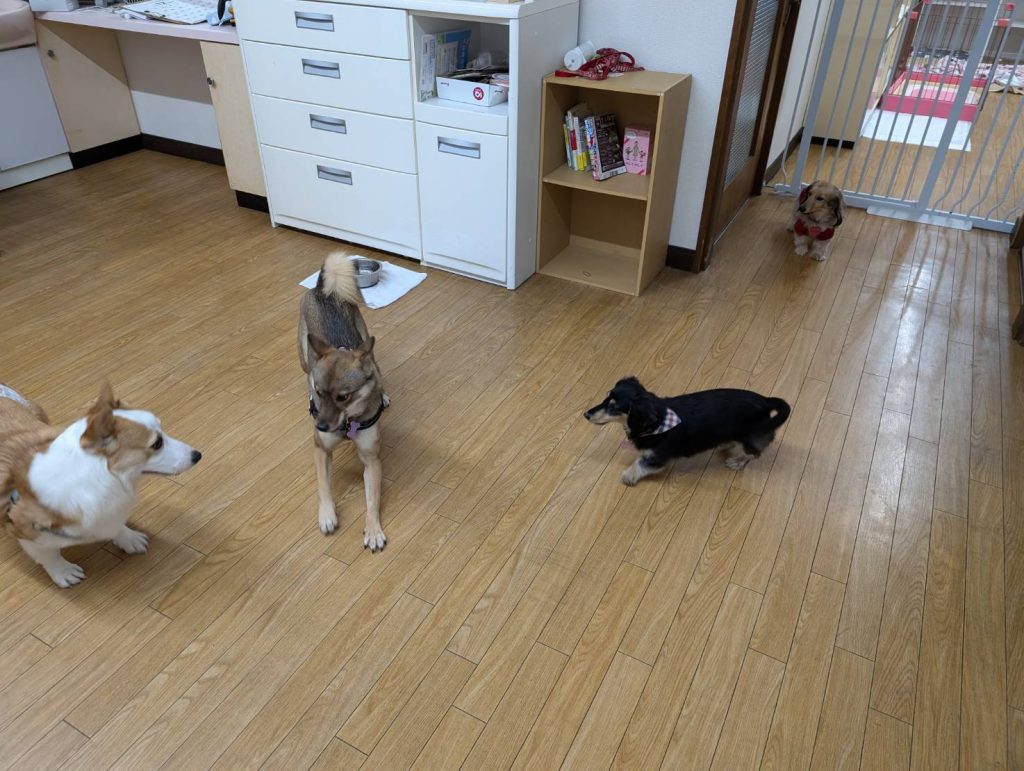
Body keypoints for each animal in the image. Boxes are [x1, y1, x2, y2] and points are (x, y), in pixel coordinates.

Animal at [1, 383, 201, 587]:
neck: (103, 475)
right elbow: (49, 555)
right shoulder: (24, 531)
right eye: (157, 443)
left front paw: (130, 539)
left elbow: (117, 527)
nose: (198, 455)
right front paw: (64, 572)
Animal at [298, 252, 389, 551]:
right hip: (304, 354)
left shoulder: (372, 460)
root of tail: (320, 288)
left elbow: (372, 500)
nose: (321, 426)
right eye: (320, 392)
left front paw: (373, 530)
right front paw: (327, 515)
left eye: (343, 397)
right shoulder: (321, 450)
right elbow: (323, 486)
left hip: (365, 336)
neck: (347, 422)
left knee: (376, 368)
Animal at [584, 377, 791, 486]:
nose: (586, 414)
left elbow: (640, 463)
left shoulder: (658, 456)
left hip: (750, 437)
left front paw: (628, 476)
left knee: (754, 453)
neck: (658, 422)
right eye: (605, 399)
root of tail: (765, 401)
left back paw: (737, 462)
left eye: (613, 407)